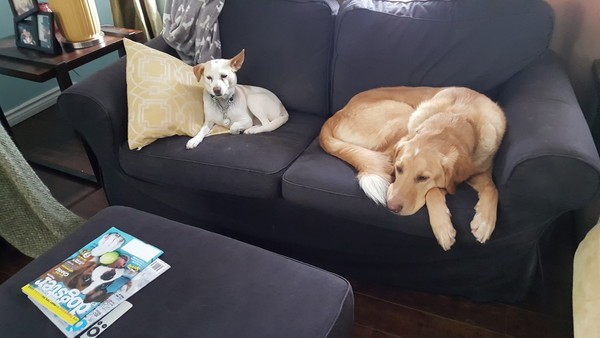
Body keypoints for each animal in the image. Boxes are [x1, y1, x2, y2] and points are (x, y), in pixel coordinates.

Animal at [322, 87, 504, 251]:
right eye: (399, 168)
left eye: (423, 178)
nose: (391, 208)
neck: (460, 117)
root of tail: (336, 115)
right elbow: (433, 191)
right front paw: (443, 228)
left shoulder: (480, 171)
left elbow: (492, 188)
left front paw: (485, 222)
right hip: (404, 114)